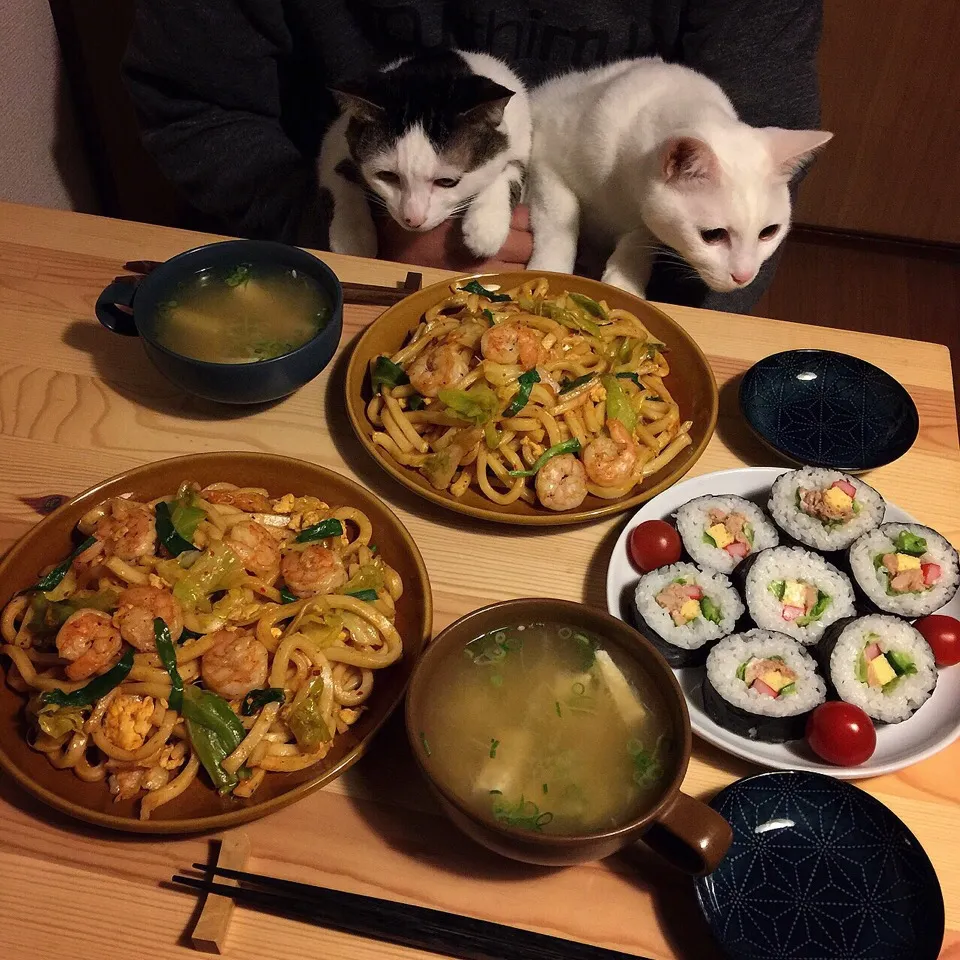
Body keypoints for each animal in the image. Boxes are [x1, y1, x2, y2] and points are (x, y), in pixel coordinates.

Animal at [316, 47, 528, 258]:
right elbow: (338, 177)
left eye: (447, 182)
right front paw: (352, 236)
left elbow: (511, 168)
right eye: (387, 175)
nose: (413, 219)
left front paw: (486, 225)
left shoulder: (520, 140)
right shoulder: (334, 140)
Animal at [524, 58, 832, 296]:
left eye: (769, 232)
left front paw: (624, 283)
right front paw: (549, 270)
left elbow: (640, 238)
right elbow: (560, 219)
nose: (744, 276)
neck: (623, 187)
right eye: (713, 235)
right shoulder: (545, 162)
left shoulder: (645, 216)